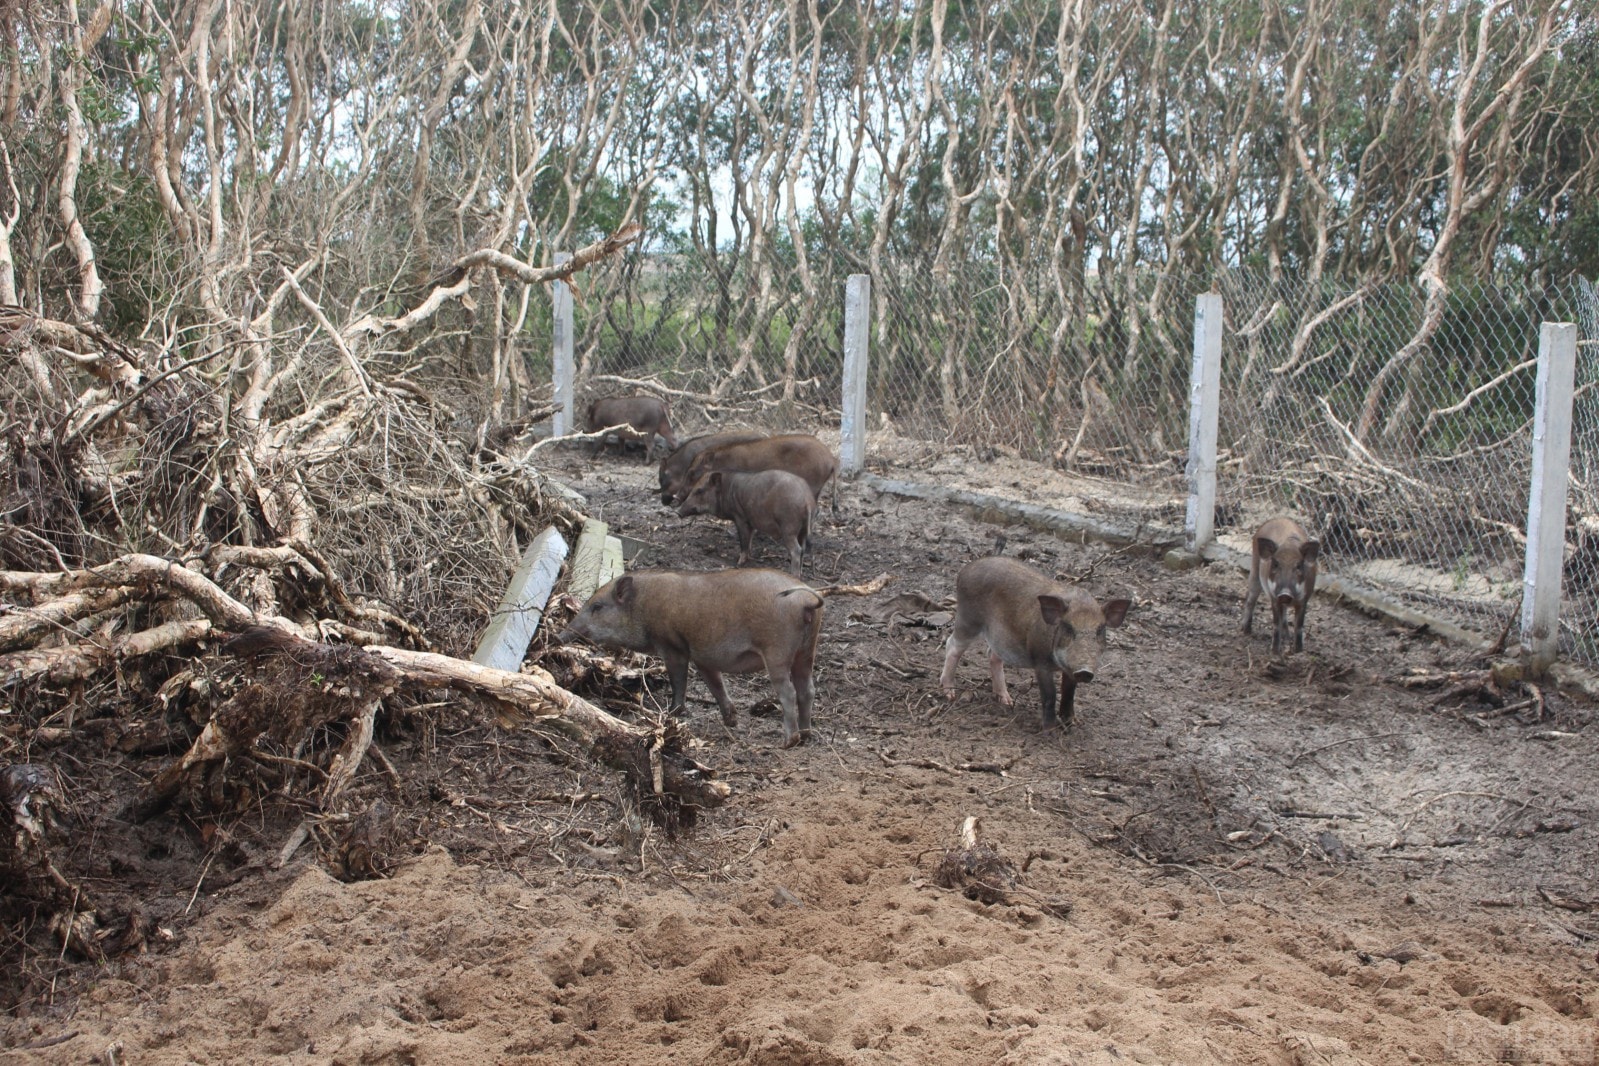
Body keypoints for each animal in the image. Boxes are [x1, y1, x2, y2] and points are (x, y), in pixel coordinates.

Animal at [556, 565, 825, 751]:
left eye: (597, 607)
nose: (559, 636)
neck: (643, 607)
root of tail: (808, 601)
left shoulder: (672, 645)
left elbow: (679, 680)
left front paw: (672, 714)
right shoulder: (702, 657)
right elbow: (715, 684)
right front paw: (731, 720)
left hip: (777, 651)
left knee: (788, 692)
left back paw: (788, 741)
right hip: (806, 652)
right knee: (807, 689)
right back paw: (806, 735)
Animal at [681, 469, 818, 578]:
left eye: (699, 490)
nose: (678, 511)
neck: (726, 491)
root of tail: (807, 501)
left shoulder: (740, 518)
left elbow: (744, 541)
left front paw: (738, 564)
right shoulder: (751, 522)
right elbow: (750, 539)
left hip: (789, 527)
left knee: (796, 550)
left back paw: (793, 575)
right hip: (804, 529)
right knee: (803, 549)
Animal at [940, 556, 1132, 728]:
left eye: (1100, 630)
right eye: (1068, 627)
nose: (1084, 670)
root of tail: (966, 569)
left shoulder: (1069, 670)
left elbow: (1068, 694)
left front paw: (1072, 723)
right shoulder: (1040, 662)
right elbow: (1050, 694)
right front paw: (1050, 729)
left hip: (999, 636)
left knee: (992, 655)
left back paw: (1007, 701)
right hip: (968, 619)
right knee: (952, 645)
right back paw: (949, 694)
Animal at [1240, 514, 1317, 655]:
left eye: (1298, 566)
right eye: (1275, 564)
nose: (1285, 593)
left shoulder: (1304, 599)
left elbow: (1299, 626)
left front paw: (1297, 651)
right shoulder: (1274, 597)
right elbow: (1276, 623)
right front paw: (1275, 651)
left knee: (1284, 615)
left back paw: (1287, 638)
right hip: (1255, 568)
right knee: (1251, 598)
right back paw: (1246, 631)